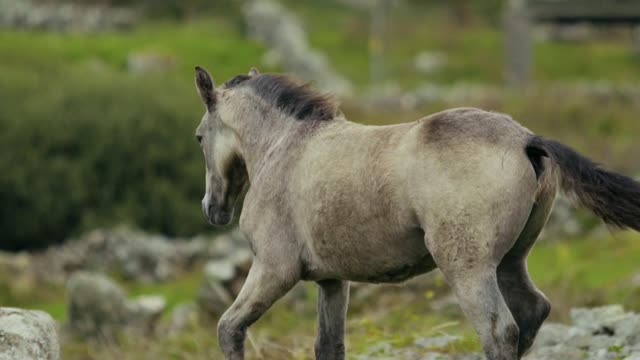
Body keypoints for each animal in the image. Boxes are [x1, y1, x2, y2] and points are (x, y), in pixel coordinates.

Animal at [192, 65, 640, 360]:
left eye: (198, 137)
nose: (212, 209)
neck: (286, 148)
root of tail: (526, 140)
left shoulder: (274, 268)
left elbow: (229, 328)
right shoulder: (332, 281)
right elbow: (328, 345)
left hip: (468, 268)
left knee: (499, 331)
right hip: (511, 260)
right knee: (532, 312)